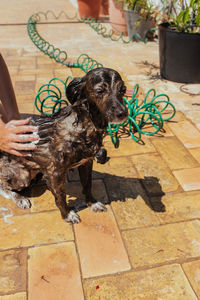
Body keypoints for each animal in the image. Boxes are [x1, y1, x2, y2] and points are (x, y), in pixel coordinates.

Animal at [0, 67, 127, 223]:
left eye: (123, 89)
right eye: (100, 91)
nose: (123, 113)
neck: (85, 125)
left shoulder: (86, 163)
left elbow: (88, 184)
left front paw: (92, 203)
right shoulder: (56, 172)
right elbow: (61, 196)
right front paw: (67, 214)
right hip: (22, 175)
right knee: (4, 187)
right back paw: (20, 198)